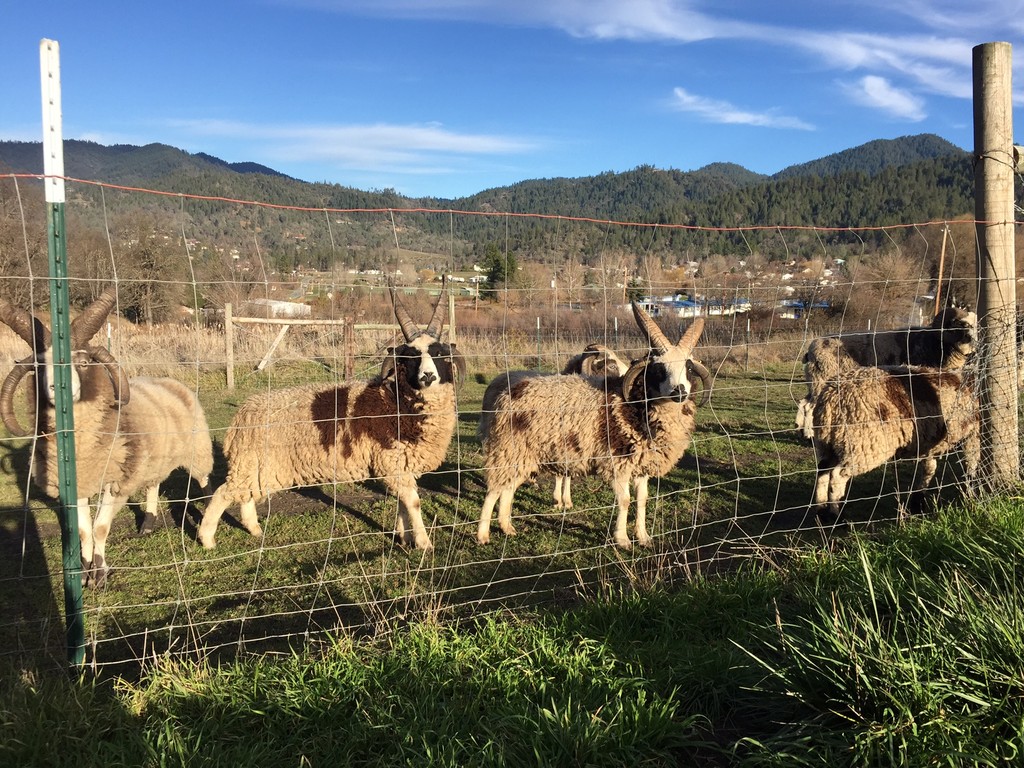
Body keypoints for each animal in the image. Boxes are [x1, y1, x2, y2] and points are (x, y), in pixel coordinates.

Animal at [0, 288, 214, 586]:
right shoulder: (77, 485)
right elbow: (83, 531)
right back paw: (147, 524)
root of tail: (166, 380)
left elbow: (100, 528)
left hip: (197, 447)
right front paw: (84, 571)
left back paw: (208, 511)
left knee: (203, 478)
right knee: (153, 484)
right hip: (153, 457)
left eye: (84, 363)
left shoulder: (115, 481)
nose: (57, 387)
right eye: (39, 367)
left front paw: (99, 574)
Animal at [196, 280, 465, 552]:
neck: (396, 403)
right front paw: (424, 543)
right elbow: (413, 502)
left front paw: (403, 537)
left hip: (260, 465)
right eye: (410, 358)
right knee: (223, 493)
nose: (428, 376)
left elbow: (402, 502)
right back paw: (207, 540)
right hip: (253, 462)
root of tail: (243, 414)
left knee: (246, 495)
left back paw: (254, 530)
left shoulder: (400, 465)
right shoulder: (391, 461)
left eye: (440, 354)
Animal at [476, 303, 713, 549]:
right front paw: (622, 540)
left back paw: (507, 527)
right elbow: (625, 501)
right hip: (507, 450)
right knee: (494, 491)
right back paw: (483, 535)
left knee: (508, 489)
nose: (680, 391)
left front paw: (644, 537)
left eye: (688, 368)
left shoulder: (641, 464)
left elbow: (642, 500)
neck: (634, 407)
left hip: (523, 455)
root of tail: (508, 392)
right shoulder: (617, 463)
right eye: (658, 370)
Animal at [796, 303, 977, 438]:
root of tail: (811, 349)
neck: (935, 343)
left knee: (803, 402)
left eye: (975, 325)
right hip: (822, 379)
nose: (973, 339)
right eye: (961, 324)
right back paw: (810, 433)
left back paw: (801, 428)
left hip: (814, 381)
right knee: (810, 407)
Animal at [809, 363, 980, 523]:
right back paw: (837, 515)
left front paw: (917, 502)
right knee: (837, 476)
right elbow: (971, 464)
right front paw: (971, 494)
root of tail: (831, 398)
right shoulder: (974, 433)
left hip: (829, 442)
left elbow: (929, 468)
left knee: (823, 470)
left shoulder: (928, 442)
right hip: (862, 445)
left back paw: (821, 510)